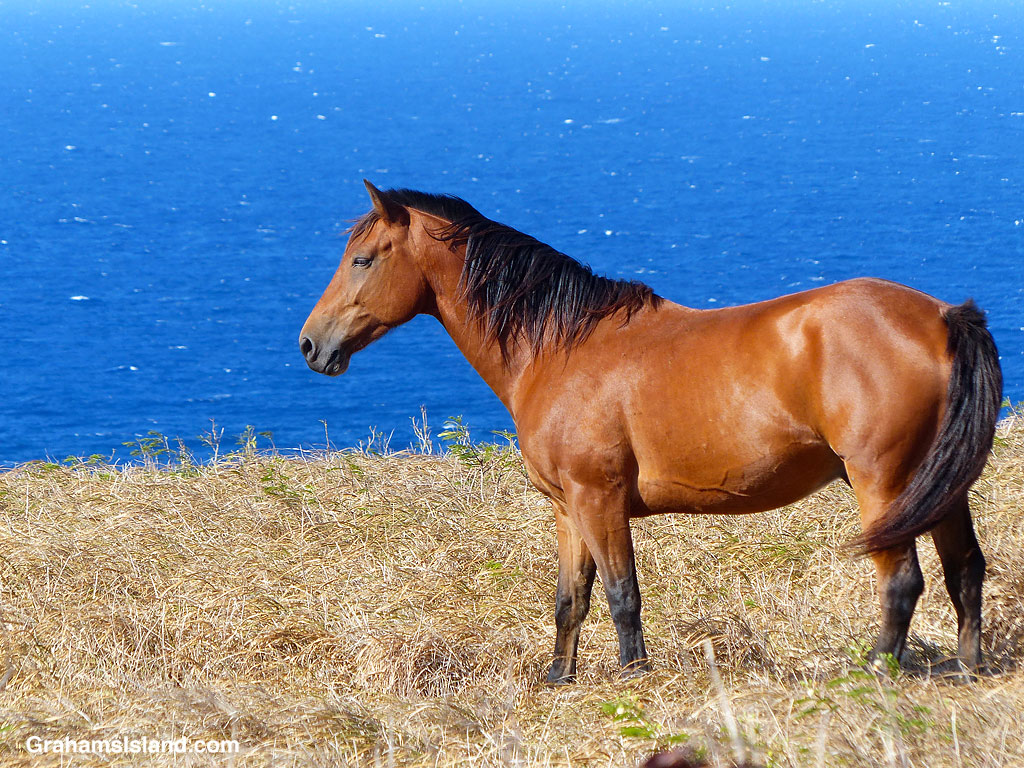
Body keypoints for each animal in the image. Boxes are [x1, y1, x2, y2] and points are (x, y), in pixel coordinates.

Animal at [300, 180, 1001, 683]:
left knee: (902, 581)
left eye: (362, 259)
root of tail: (943, 316)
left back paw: (874, 670)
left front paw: (633, 676)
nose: (311, 345)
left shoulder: (600, 499)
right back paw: (966, 671)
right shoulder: (569, 507)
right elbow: (571, 597)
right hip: (938, 486)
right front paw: (560, 678)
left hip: (883, 482)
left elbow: (621, 594)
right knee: (965, 569)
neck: (561, 348)